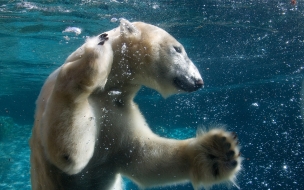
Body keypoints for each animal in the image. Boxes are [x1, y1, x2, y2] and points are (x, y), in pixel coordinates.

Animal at [29, 18, 241, 190]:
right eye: (178, 49)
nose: (199, 82)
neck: (110, 89)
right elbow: (70, 154)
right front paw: (97, 50)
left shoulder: (120, 110)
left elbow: (144, 157)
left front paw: (218, 151)